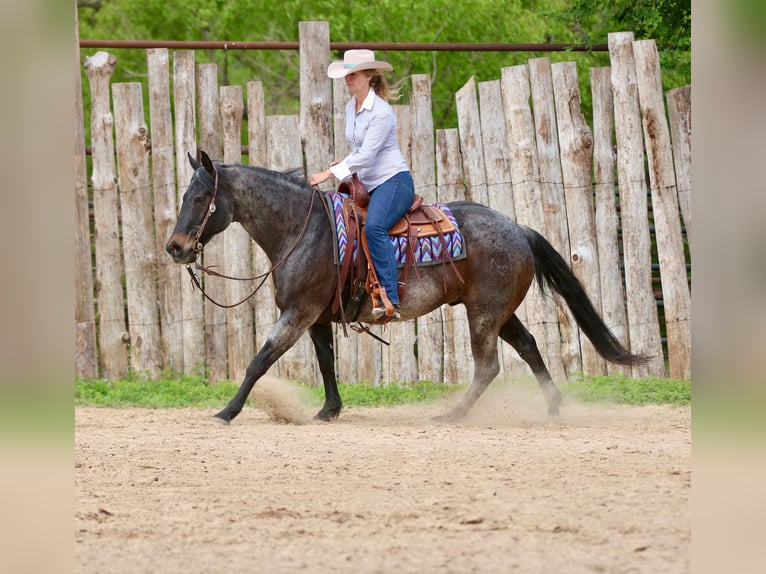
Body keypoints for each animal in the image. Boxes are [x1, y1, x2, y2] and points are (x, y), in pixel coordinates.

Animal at [166, 150, 647, 425]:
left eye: (199, 197)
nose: (175, 247)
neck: (303, 230)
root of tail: (518, 228)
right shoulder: (317, 316)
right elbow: (325, 363)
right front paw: (329, 410)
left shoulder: (298, 313)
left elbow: (259, 361)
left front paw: (226, 412)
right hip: (498, 311)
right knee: (528, 346)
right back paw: (553, 406)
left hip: (484, 313)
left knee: (488, 366)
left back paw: (453, 414)